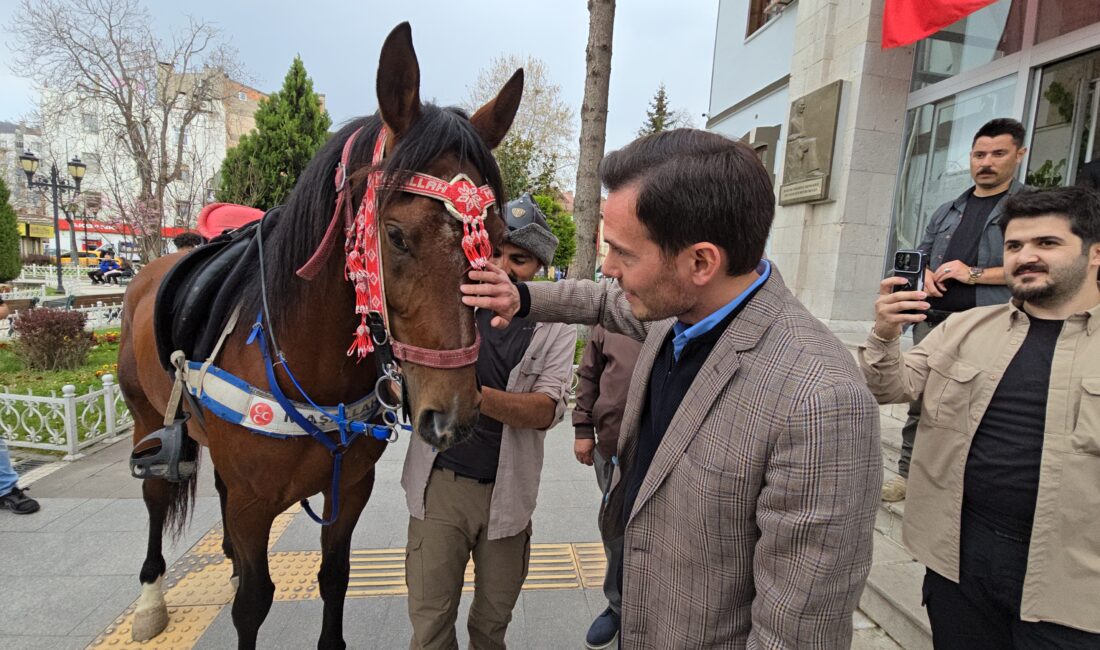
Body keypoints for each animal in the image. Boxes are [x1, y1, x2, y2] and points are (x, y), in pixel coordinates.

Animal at [116, 22, 523, 646]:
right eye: (396, 235)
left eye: (495, 241)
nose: (452, 417)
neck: (309, 365)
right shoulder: (255, 504)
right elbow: (254, 603)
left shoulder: (348, 488)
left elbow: (334, 577)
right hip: (144, 417)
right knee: (157, 496)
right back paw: (150, 598)